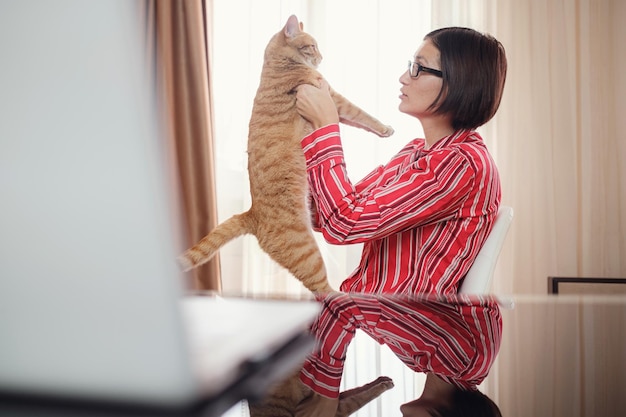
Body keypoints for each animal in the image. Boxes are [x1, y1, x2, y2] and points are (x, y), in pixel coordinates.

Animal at [178, 15, 390, 292]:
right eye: (312, 46)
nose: (321, 57)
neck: (277, 65)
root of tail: (252, 213)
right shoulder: (333, 98)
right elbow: (362, 115)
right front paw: (385, 128)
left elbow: (359, 121)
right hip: (306, 251)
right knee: (322, 290)